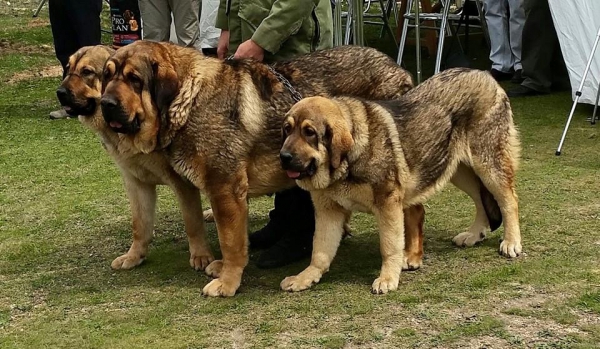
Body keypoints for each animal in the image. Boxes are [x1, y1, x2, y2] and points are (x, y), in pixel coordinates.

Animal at [99, 40, 422, 296]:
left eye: (134, 79)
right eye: (107, 75)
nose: (105, 103)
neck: (189, 98)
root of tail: (400, 69)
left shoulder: (225, 189)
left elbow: (229, 242)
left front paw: (227, 282)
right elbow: (143, 224)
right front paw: (135, 256)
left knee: (413, 207)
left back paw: (411, 255)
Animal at [280, 68, 520, 294]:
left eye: (309, 132)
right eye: (287, 129)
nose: (283, 157)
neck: (347, 161)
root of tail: (484, 74)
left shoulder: (387, 205)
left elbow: (389, 246)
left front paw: (387, 278)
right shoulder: (328, 211)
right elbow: (320, 250)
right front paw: (306, 277)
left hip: (488, 165)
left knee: (509, 201)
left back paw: (511, 242)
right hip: (457, 170)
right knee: (480, 199)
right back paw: (474, 234)